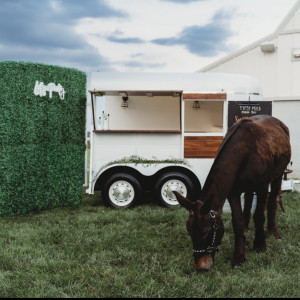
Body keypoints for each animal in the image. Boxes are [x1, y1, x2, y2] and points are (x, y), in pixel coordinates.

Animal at [173, 115, 290, 272]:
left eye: (205, 231)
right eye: (189, 230)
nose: (200, 267)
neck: (244, 151)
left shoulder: (262, 187)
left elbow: (259, 216)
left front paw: (260, 245)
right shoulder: (233, 192)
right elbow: (237, 222)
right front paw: (240, 256)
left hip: (278, 175)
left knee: (272, 201)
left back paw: (272, 232)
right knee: (248, 199)